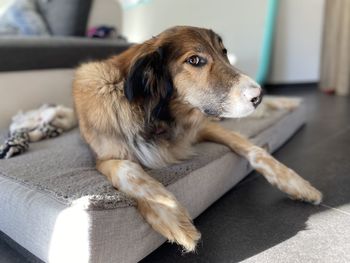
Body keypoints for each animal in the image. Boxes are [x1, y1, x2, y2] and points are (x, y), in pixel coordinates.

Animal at [73, 25, 322, 253]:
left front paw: (296, 183)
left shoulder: (205, 126)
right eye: (194, 60)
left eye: (224, 52)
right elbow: (128, 170)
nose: (258, 95)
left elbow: (254, 150)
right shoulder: (103, 157)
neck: (156, 117)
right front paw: (170, 214)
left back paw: (287, 104)